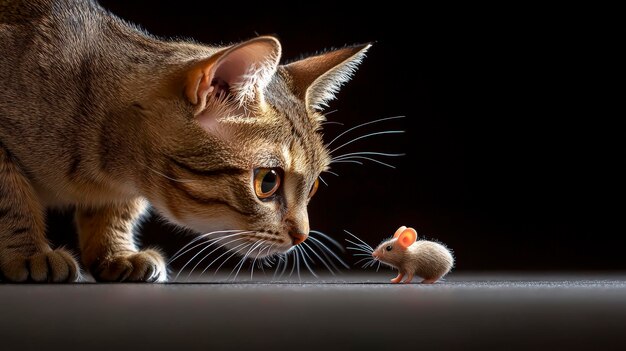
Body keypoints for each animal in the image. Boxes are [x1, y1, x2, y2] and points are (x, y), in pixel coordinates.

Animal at [0, 0, 368, 282]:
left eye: (314, 186)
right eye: (268, 182)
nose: (302, 236)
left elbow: (115, 210)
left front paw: (116, 253)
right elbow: (12, 199)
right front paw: (28, 253)